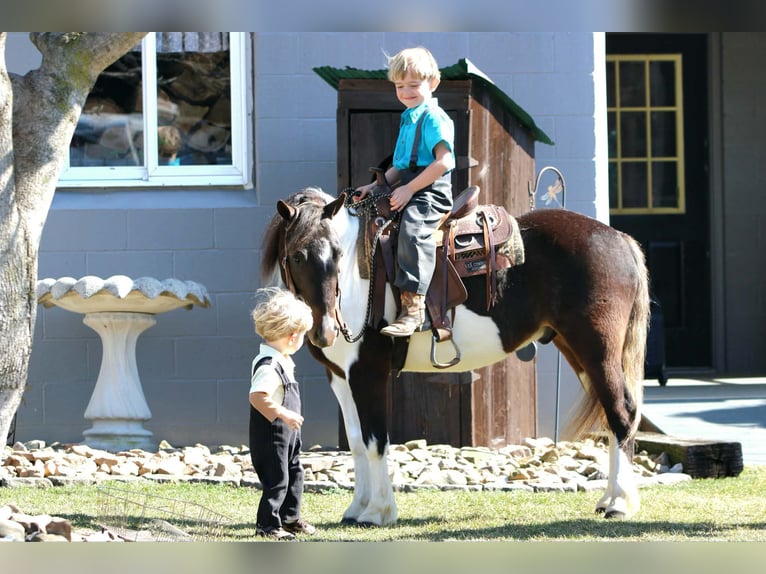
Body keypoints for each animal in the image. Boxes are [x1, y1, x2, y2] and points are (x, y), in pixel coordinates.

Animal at [261, 186, 650, 525]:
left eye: (338, 254)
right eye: (297, 256)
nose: (325, 331)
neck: (361, 279)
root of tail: (619, 238)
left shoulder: (369, 374)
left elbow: (375, 442)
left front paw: (378, 512)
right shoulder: (341, 377)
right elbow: (357, 442)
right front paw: (357, 509)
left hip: (598, 350)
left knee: (621, 413)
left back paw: (618, 503)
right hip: (578, 352)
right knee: (613, 415)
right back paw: (609, 499)